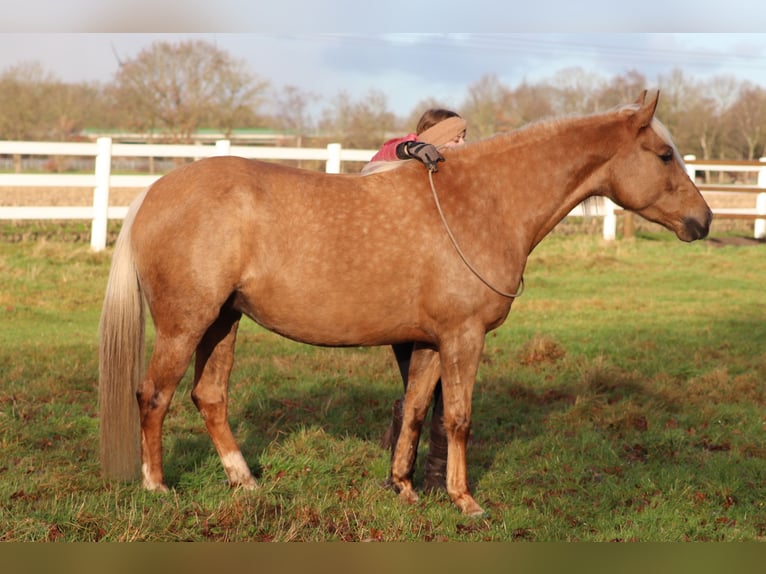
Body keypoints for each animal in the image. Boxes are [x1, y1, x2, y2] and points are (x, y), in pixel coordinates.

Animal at [99, 91, 712, 516]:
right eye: (664, 155)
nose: (703, 221)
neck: (483, 202)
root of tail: (153, 191)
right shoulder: (463, 337)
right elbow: (459, 417)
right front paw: (466, 501)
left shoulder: (430, 342)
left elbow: (417, 409)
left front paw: (405, 489)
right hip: (185, 324)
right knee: (154, 395)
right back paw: (157, 487)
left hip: (223, 322)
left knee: (210, 398)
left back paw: (244, 481)